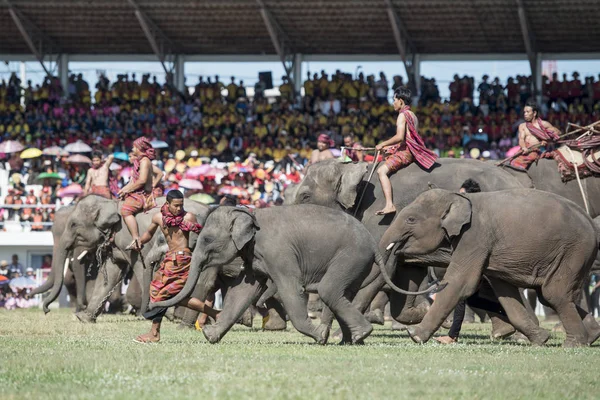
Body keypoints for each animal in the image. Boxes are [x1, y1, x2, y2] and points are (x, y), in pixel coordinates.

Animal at [33, 195, 211, 324]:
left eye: (73, 225)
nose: (46, 310)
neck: (112, 203)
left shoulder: (130, 239)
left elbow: (141, 268)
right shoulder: (116, 243)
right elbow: (110, 274)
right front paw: (84, 318)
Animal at [151, 205, 432, 346]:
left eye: (207, 239)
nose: (154, 305)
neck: (249, 213)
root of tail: (373, 242)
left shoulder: (278, 252)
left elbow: (290, 289)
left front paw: (320, 337)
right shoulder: (254, 255)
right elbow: (242, 291)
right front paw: (210, 336)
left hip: (351, 255)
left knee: (329, 290)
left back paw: (356, 336)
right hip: (357, 263)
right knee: (342, 293)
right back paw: (350, 340)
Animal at [380, 188, 600, 346]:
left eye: (411, 219)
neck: (459, 197)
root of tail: (590, 221)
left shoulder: (474, 236)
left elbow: (459, 283)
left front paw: (414, 336)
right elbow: (505, 293)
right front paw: (541, 339)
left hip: (575, 250)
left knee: (554, 294)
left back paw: (574, 344)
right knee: (549, 296)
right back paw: (592, 336)